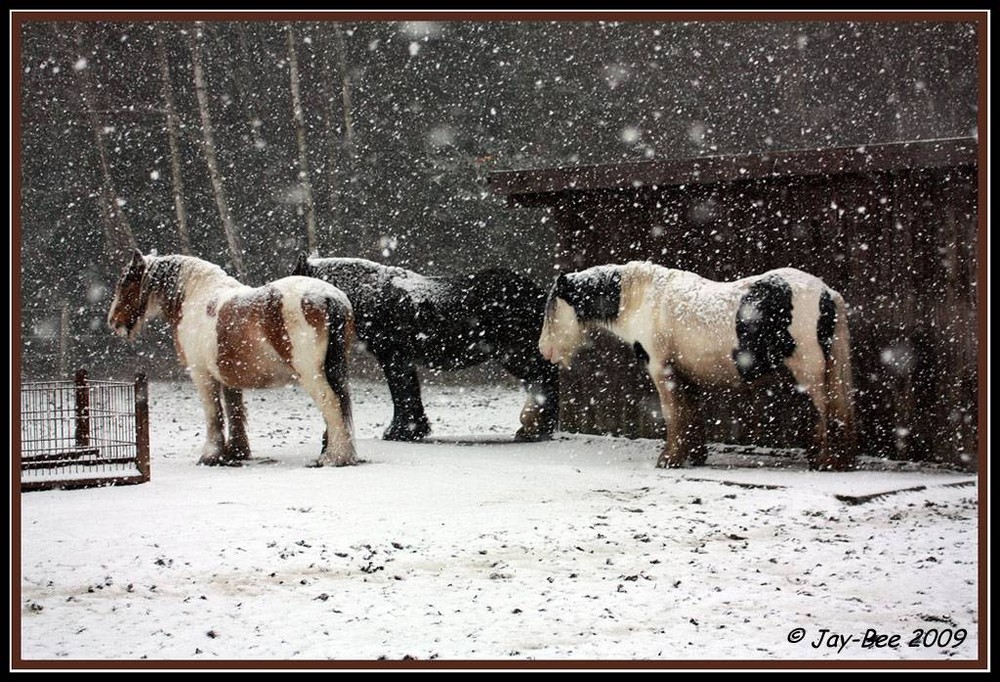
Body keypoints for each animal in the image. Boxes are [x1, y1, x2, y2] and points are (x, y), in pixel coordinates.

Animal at [108, 250, 360, 468]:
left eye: (126, 282)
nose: (113, 321)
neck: (197, 299)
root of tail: (326, 296)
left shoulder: (202, 375)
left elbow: (214, 414)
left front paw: (211, 456)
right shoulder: (229, 378)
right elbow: (234, 411)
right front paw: (236, 452)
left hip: (310, 374)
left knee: (331, 404)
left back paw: (334, 457)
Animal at [294, 255, 564, 440]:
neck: (370, 294)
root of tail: (539, 293)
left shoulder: (394, 358)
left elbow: (401, 393)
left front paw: (399, 432)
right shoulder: (403, 360)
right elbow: (409, 392)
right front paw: (413, 430)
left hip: (518, 356)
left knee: (545, 379)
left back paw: (535, 430)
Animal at [544, 262, 856, 470]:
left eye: (552, 311)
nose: (544, 351)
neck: (644, 301)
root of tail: (827, 292)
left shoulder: (663, 373)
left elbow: (673, 415)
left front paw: (669, 459)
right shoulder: (685, 376)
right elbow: (691, 414)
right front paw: (693, 455)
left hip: (811, 373)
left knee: (829, 412)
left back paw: (828, 462)